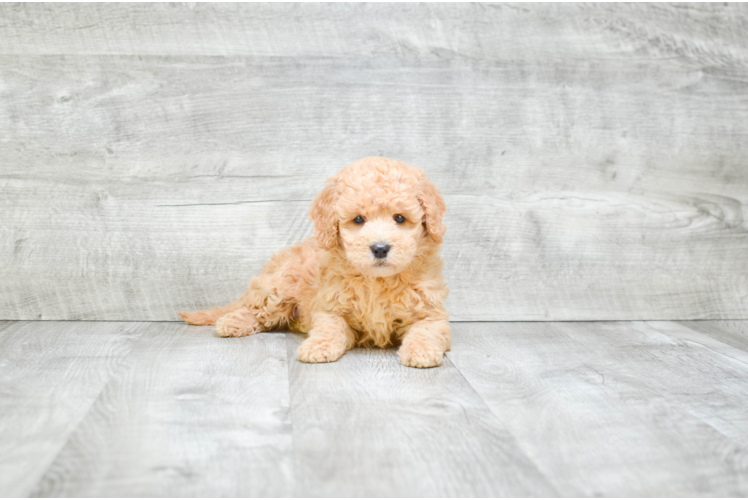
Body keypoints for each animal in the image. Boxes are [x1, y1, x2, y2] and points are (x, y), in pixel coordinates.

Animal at [181, 156, 450, 368]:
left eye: (400, 218)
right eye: (358, 219)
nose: (380, 248)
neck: (378, 281)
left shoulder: (431, 312)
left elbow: (426, 330)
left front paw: (421, 351)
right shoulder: (331, 307)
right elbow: (329, 327)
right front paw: (318, 347)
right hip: (279, 287)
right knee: (257, 309)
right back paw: (233, 321)